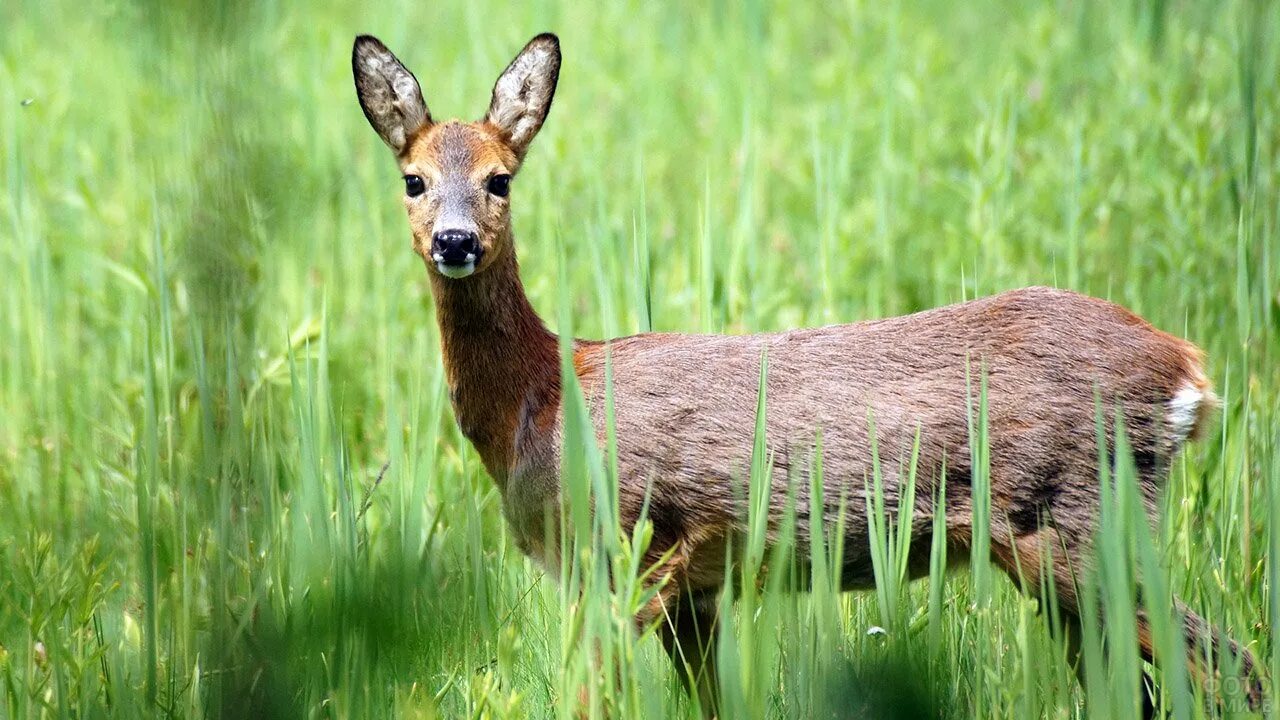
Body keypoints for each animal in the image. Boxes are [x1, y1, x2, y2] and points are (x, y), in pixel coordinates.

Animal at [350, 32, 1259, 712]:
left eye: (501, 178)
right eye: (414, 179)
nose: (456, 241)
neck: (538, 398)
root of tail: (1187, 370)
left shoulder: (636, 546)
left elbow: (584, 697)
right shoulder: (696, 593)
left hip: (1080, 521)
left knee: (1231, 666)